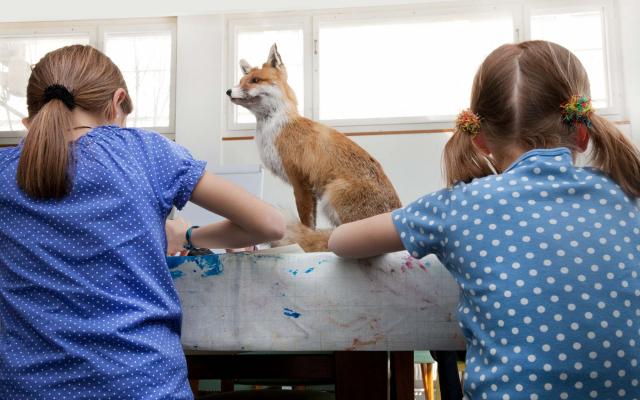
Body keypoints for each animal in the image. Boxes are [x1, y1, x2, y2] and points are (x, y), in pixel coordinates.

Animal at [226, 43, 400, 250]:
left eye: (255, 80)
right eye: (240, 81)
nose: (228, 91)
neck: (278, 128)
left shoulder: (300, 182)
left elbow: (307, 224)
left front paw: (302, 242)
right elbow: (312, 226)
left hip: (332, 194)